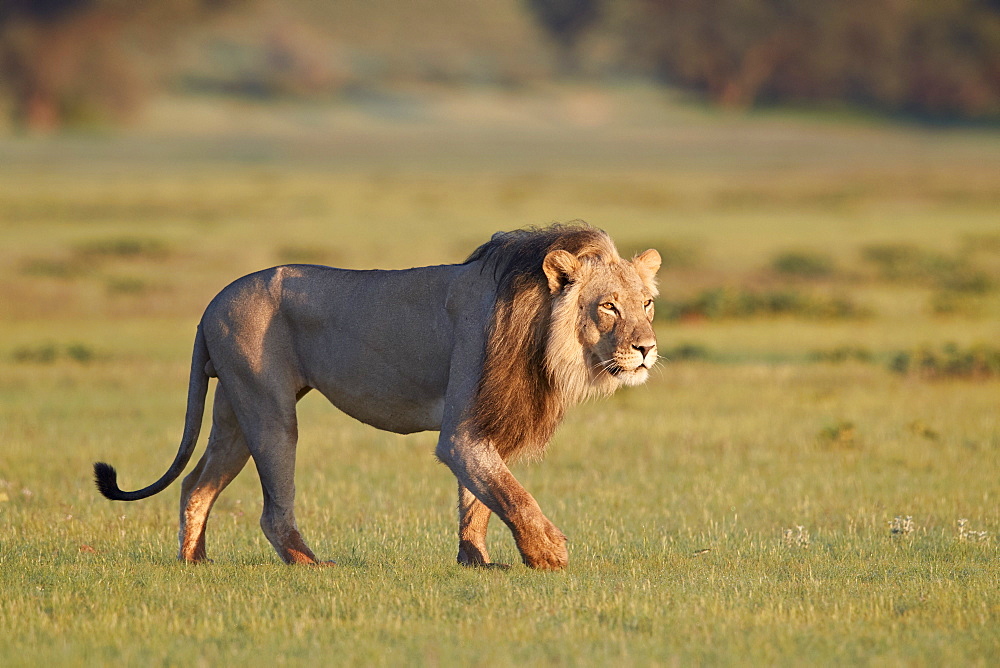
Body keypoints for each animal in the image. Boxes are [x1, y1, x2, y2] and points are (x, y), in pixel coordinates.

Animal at [92, 223, 656, 568]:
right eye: (608, 306)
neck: (541, 330)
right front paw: (549, 555)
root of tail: (212, 303)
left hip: (233, 410)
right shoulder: (461, 432)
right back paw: (312, 565)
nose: (647, 348)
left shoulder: (483, 423)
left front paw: (476, 562)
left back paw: (196, 563)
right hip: (268, 409)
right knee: (271, 510)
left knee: (196, 485)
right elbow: (510, 493)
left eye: (647, 303)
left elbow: (478, 498)